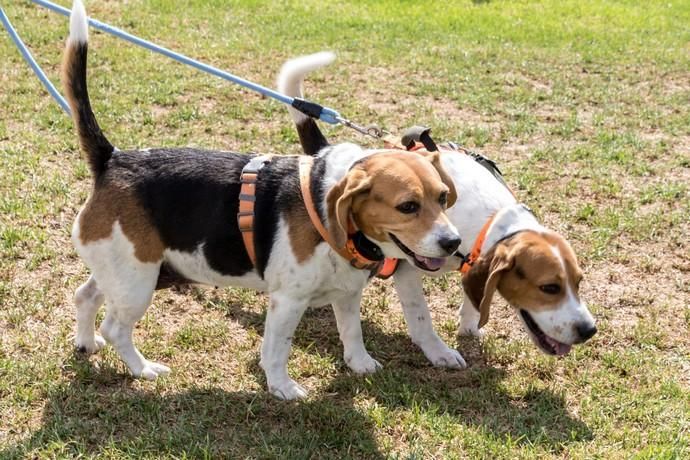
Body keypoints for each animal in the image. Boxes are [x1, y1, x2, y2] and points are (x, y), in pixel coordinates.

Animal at [63, 0, 456, 398]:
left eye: (443, 198)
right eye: (408, 206)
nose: (453, 242)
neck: (326, 205)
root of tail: (113, 159)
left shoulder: (346, 292)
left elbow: (353, 333)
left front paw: (360, 364)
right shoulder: (288, 301)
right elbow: (278, 350)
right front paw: (282, 388)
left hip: (124, 268)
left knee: (85, 295)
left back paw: (87, 342)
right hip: (138, 281)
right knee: (116, 328)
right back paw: (142, 369)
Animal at [276, 51, 592, 366]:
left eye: (579, 282)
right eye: (549, 287)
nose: (589, 330)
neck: (487, 221)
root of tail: (325, 153)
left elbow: (472, 301)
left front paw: (469, 328)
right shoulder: (408, 269)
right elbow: (421, 316)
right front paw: (438, 351)